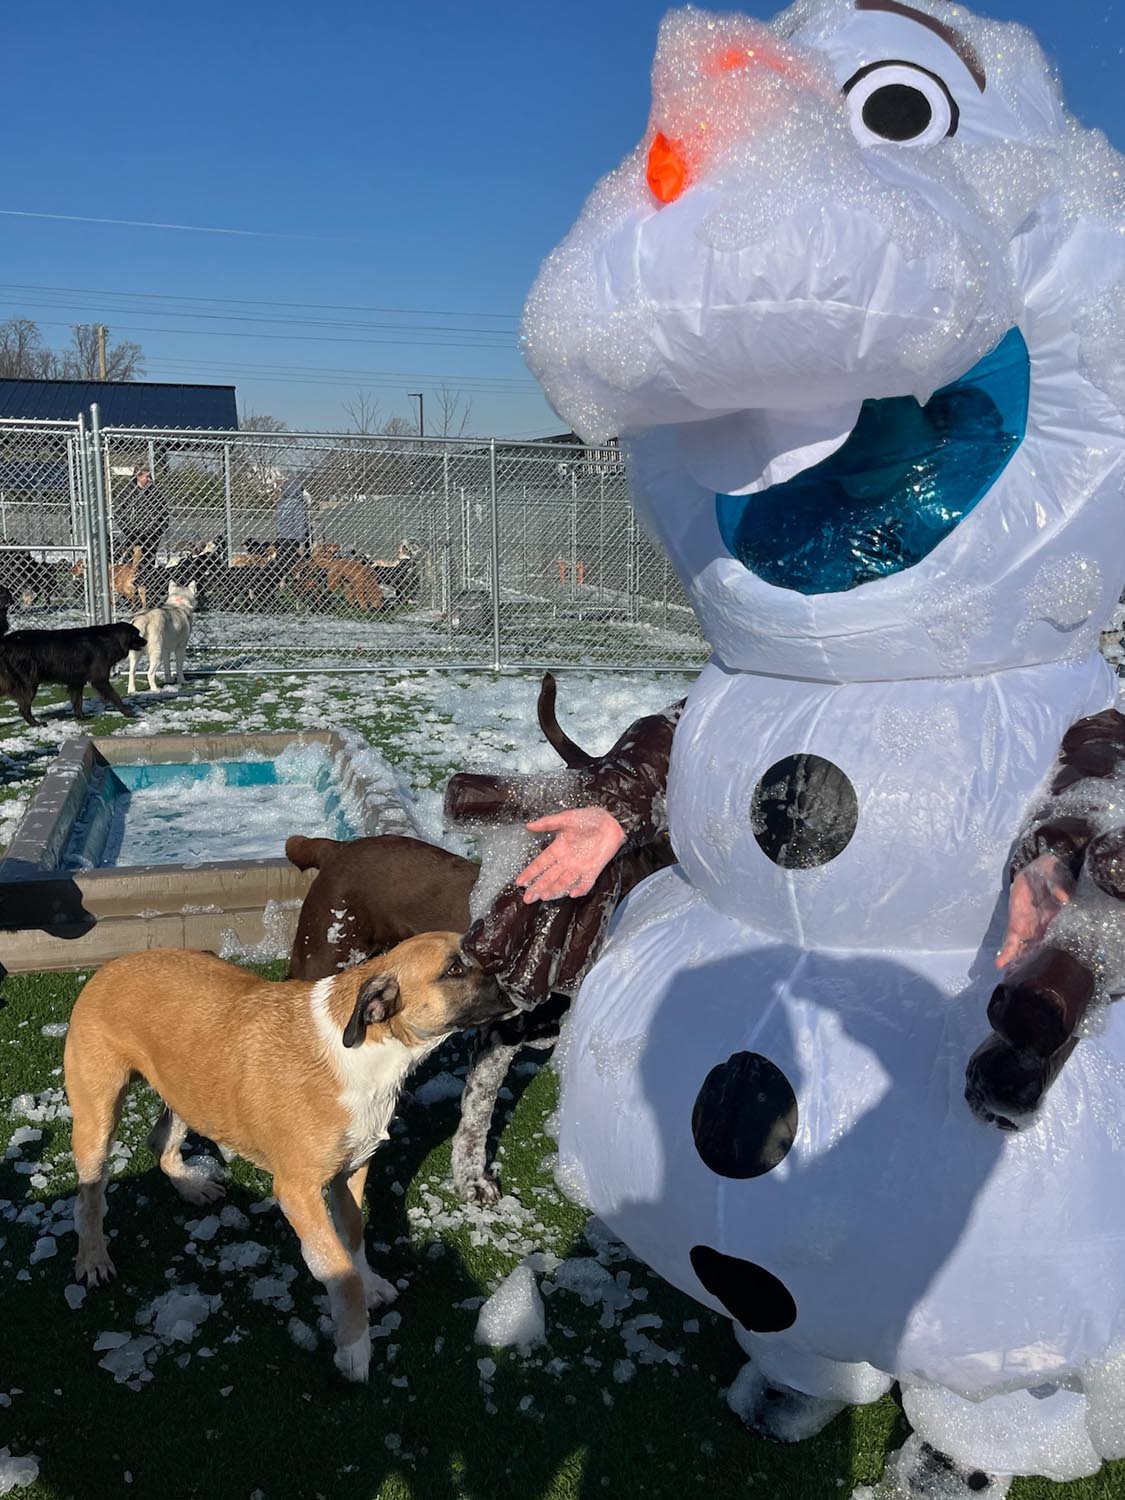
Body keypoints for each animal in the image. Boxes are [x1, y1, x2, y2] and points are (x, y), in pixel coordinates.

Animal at [0, 621, 145, 726]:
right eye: (136, 634)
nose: (146, 641)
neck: (108, 639)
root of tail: (4, 642)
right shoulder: (99, 679)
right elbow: (115, 696)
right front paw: (128, 712)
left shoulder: (77, 681)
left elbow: (77, 701)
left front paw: (81, 717)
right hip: (29, 682)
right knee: (23, 708)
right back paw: (36, 724)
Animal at [64, 937, 510, 1381]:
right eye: (454, 970)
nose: (511, 983)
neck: (367, 1054)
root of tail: (111, 966)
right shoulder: (298, 1192)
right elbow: (339, 1270)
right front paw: (355, 1349)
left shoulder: (352, 1172)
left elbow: (354, 1235)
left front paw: (370, 1285)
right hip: (98, 1118)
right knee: (89, 1197)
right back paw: (93, 1259)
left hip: (187, 1093)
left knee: (159, 1141)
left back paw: (190, 1186)